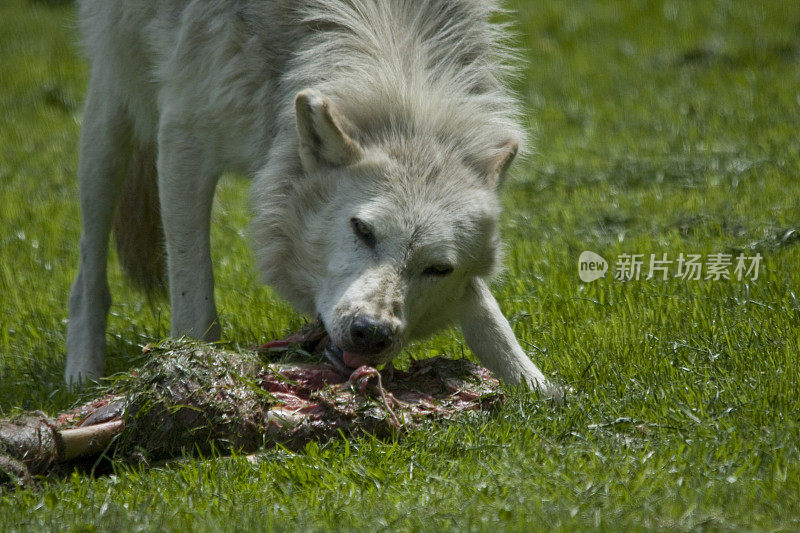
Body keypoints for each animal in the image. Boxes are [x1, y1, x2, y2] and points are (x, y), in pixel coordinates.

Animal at [67, 0, 556, 394]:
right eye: (362, 230)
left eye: (439, 269)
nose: (371, 333)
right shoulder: (184, 137)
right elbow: (193, 293)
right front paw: (197, 371)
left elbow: (486, 308)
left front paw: (536, 387)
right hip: (110, 112)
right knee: (89, 262)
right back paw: (83, 372)